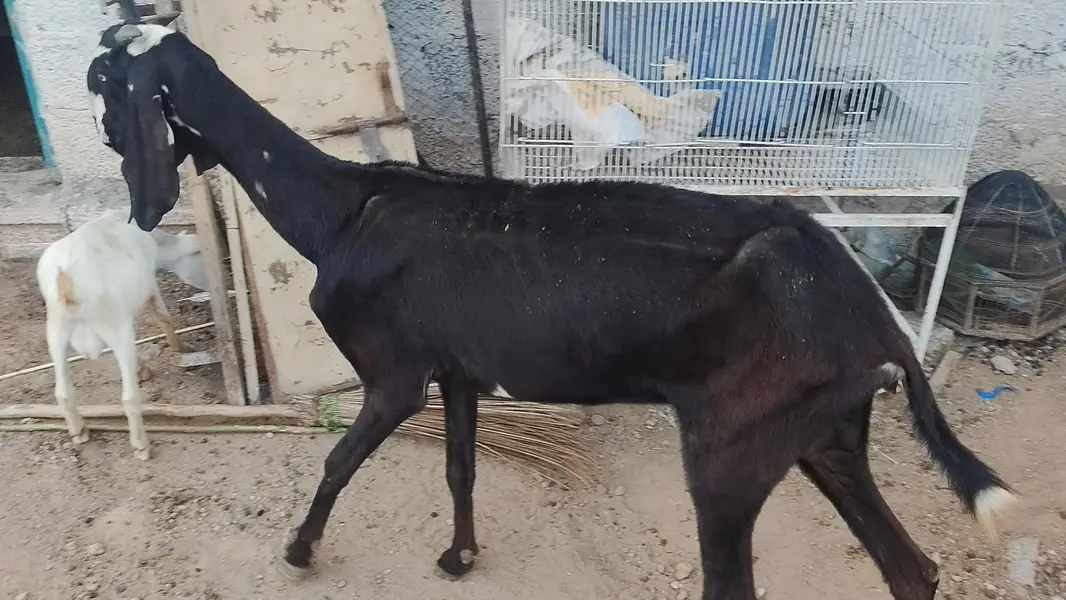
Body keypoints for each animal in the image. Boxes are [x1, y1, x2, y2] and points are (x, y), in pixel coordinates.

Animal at [36, 208, 198, 460]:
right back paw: (141, 446)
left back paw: (79, 431)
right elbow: (162, 315)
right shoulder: (149, 286)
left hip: (55, 330)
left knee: (62, 391)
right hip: (114, 327)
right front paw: (179, 347)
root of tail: (68, 282)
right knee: (129, 397)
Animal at [88, 23, 1016, 600]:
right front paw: (459, 555)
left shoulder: (393, 376)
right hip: (825, 434)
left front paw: (299, 549)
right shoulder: (457, 370)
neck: (343, 209)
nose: (104, 142)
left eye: (103, 84)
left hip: (732, 451)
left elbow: (339, 460)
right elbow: (460, 467)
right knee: (913, 570)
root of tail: (873, 316)